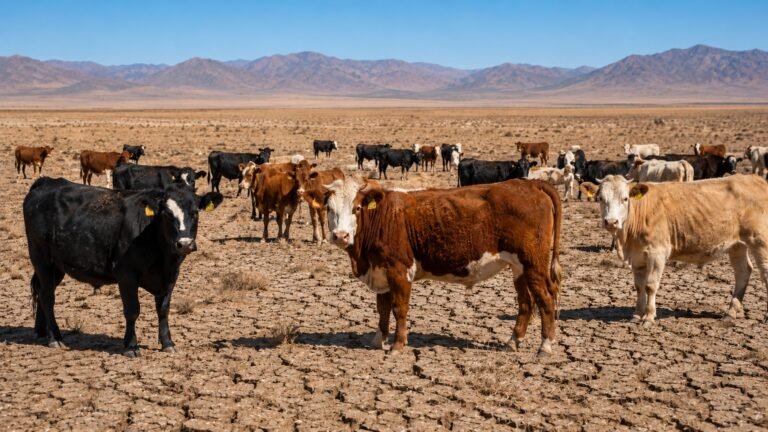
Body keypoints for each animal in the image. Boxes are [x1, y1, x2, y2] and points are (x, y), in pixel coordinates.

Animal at [23, 177, 223, 356]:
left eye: (195, 212)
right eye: (167, 213)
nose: (185, 244)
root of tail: (47, 182)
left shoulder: (171, 275)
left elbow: (163, 309)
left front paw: (168, 343)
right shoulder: (126, 275)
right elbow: (132, 310)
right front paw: (131, 346)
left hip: (57, 266)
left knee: (41, 292)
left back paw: (41, 332)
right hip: (41, 259)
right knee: (47, 296)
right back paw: (55, 337)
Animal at [322, 177, 562, 356]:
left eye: (356, 208)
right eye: (328, 208)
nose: (340, 236)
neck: (383, 216)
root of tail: (530, 184)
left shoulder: (399, 270)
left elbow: (399, 308)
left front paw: (397, 345)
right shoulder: (380, 271)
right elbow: (382, 308)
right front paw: (378, 340)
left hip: (534, 264)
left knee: (546, 298)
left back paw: (545, 346)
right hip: (518, 266)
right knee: (526, 302)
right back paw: (513, 341)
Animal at [597, 174, 768, 327]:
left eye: (625, 198)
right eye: (601, 198)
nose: (611, 222)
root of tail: (757, 179)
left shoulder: (657, 253)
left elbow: (650, 286)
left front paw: (649, 317)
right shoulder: (637, 257)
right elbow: (639, 287)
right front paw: (637, 315)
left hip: (760, 240)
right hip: (737, 245)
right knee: (743, 271)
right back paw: (731, 312)